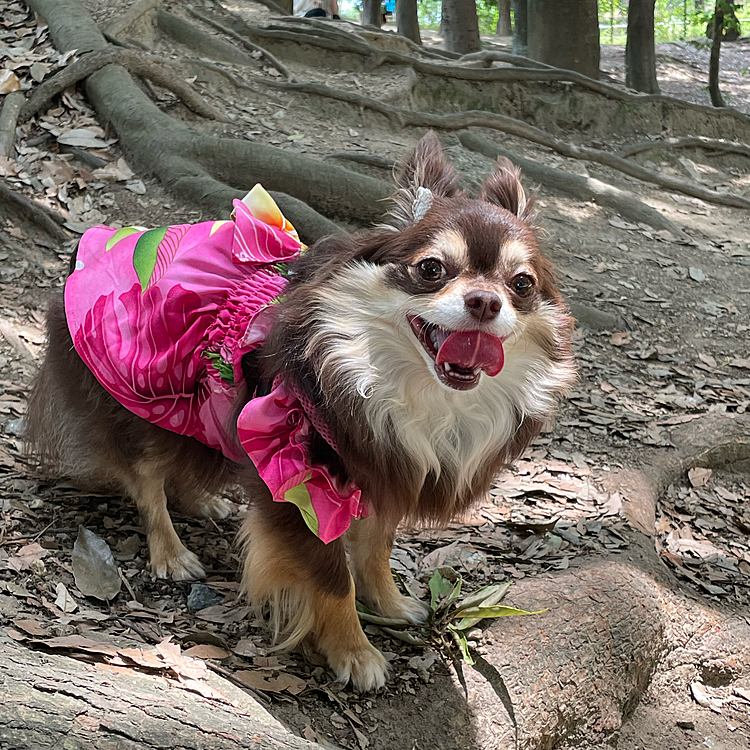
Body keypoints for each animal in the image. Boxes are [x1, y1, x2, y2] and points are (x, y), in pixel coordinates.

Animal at [25, 132, 576, 692]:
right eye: (431, 269)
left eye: (522, 284)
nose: (486, 301)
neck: (410, 389)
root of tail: (97, 244)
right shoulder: (297, 476)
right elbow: (333, 578)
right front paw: (354, 651)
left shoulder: (383, 472)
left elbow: (375, 549)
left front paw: (392, 604)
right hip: (146, 393)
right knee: (145, 476)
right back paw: (171, 551)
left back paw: (204, 501)